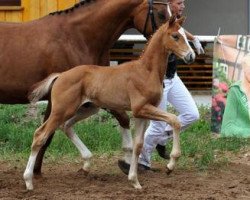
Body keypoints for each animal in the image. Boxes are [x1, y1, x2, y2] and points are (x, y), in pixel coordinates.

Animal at [23, 16, 195, 190]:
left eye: (186, 35)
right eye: (175, 36)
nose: (191, 56)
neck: (146, 71)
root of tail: (61, 75)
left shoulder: (142, 114)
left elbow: (138, 145)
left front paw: (135, 181)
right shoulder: (141, 108)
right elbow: (174, 120)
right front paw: (170, 165)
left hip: (87, 109)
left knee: (66, 126)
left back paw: (86, 163)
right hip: (62, 110)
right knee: (40, 135)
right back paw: (28, 181)